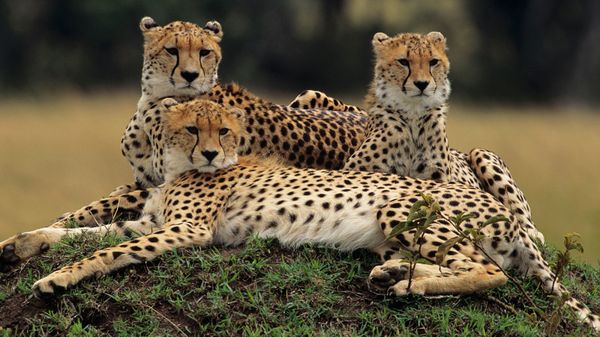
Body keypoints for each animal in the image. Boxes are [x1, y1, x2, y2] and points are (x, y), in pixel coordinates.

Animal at [1, 100, 596, 330]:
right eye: (194, 127)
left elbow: (107, 249)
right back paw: (393, 274)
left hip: (399, 204)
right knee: (463, 265)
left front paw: (56, 280)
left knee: (493, 272)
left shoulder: (184, 230)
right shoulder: (151, 222)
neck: (176, 168)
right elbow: (88, 231)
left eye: (226, 130)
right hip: (390, 230)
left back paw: (409, 285)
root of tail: (511, 216)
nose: (212, 153)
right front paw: (23, 243)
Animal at [286, 31, 544, 244]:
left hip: (481, 153)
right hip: (309, 94)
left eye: (433, 62)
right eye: (403, 61)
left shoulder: (438, 181)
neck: (412, 115)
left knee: (525, 219)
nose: (421, 84)